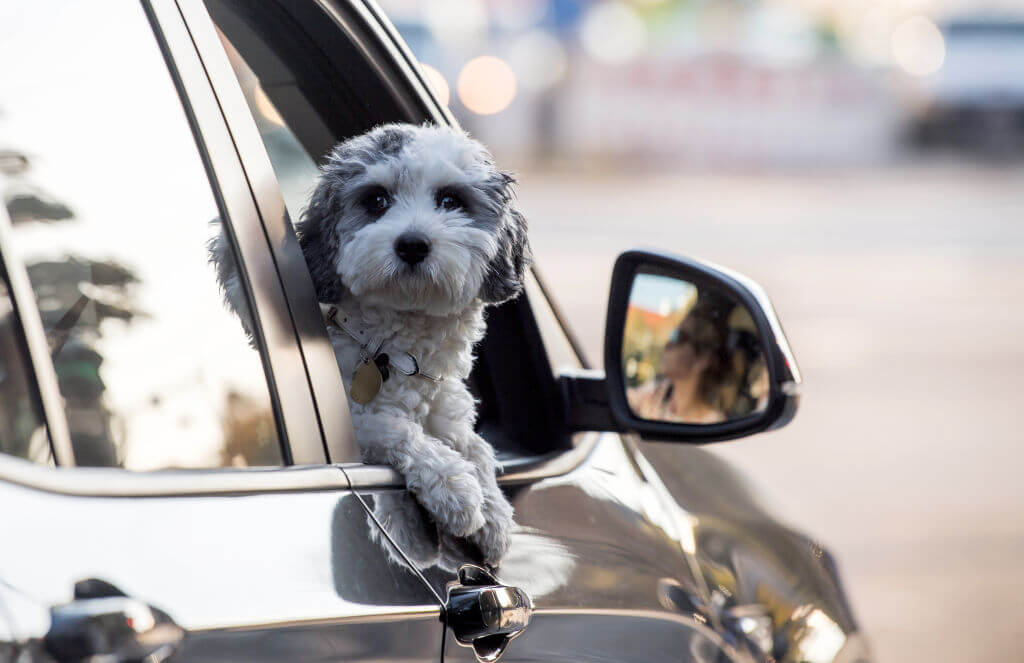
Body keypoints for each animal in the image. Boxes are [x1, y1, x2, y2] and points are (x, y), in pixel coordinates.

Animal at [208, 122, 528, 565]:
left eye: (451, 200)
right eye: (376, 200)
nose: (412, 244)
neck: (392, 348)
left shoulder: (445, 401)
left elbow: (476, 444)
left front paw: (494, 509)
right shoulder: (359, 417)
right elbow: (394, 428)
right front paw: (452, 486)